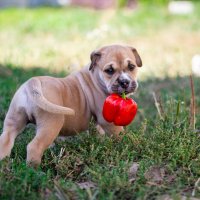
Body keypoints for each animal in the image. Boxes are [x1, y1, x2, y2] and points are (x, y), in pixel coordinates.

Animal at [0, 44, 142, 165]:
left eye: (131, 67)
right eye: (110, 70)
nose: (124, 82)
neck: (95, 77)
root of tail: (33, 83)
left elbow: (97, 132)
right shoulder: (108, 121)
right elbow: (120, 134)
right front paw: (130, 143)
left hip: (14, 120)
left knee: (6, 140)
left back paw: (4, 164)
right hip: (51, 124)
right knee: (34, 146)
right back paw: (34, 171)